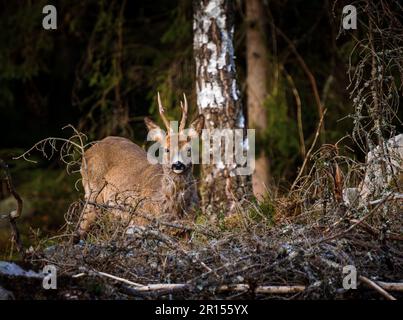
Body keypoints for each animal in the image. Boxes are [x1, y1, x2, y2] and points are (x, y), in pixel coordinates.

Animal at [78, 92, 205, 238]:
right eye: (166, 149)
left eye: (189, 149)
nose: (178, 165)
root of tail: (89, 149)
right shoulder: (140, 219)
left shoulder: (188, 227)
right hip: (92, 194)